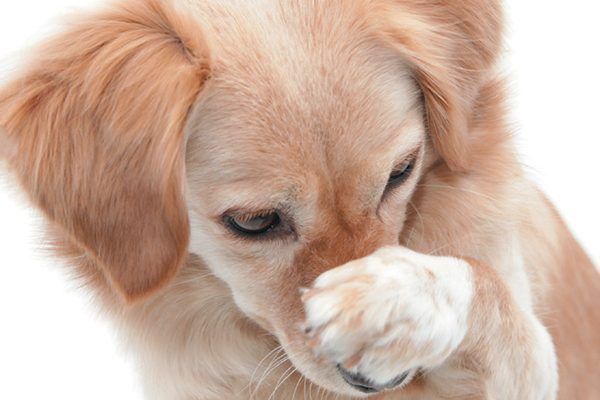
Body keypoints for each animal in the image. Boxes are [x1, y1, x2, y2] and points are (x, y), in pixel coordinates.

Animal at [0, 0, 596, 400]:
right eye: (253, 222)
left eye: (401, 173)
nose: (380, 379)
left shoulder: (535, 362)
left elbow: (482, 285)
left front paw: (396, 301)